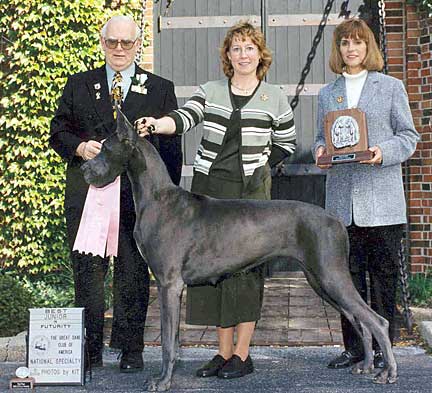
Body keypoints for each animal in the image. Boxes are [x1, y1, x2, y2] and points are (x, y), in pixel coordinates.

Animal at [82, 109, 398, 388]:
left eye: (106, 148)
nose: (84, 166)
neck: (156, 198)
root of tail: (336, 220)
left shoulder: (169, 284)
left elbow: (168, 342)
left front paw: (162, 382)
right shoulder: (169, 286)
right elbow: (173, 340)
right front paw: (167, 378)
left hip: (331, 275)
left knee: (377, 321)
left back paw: (387, 372)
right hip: (320, 280)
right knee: (360, 319)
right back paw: (366, 366)